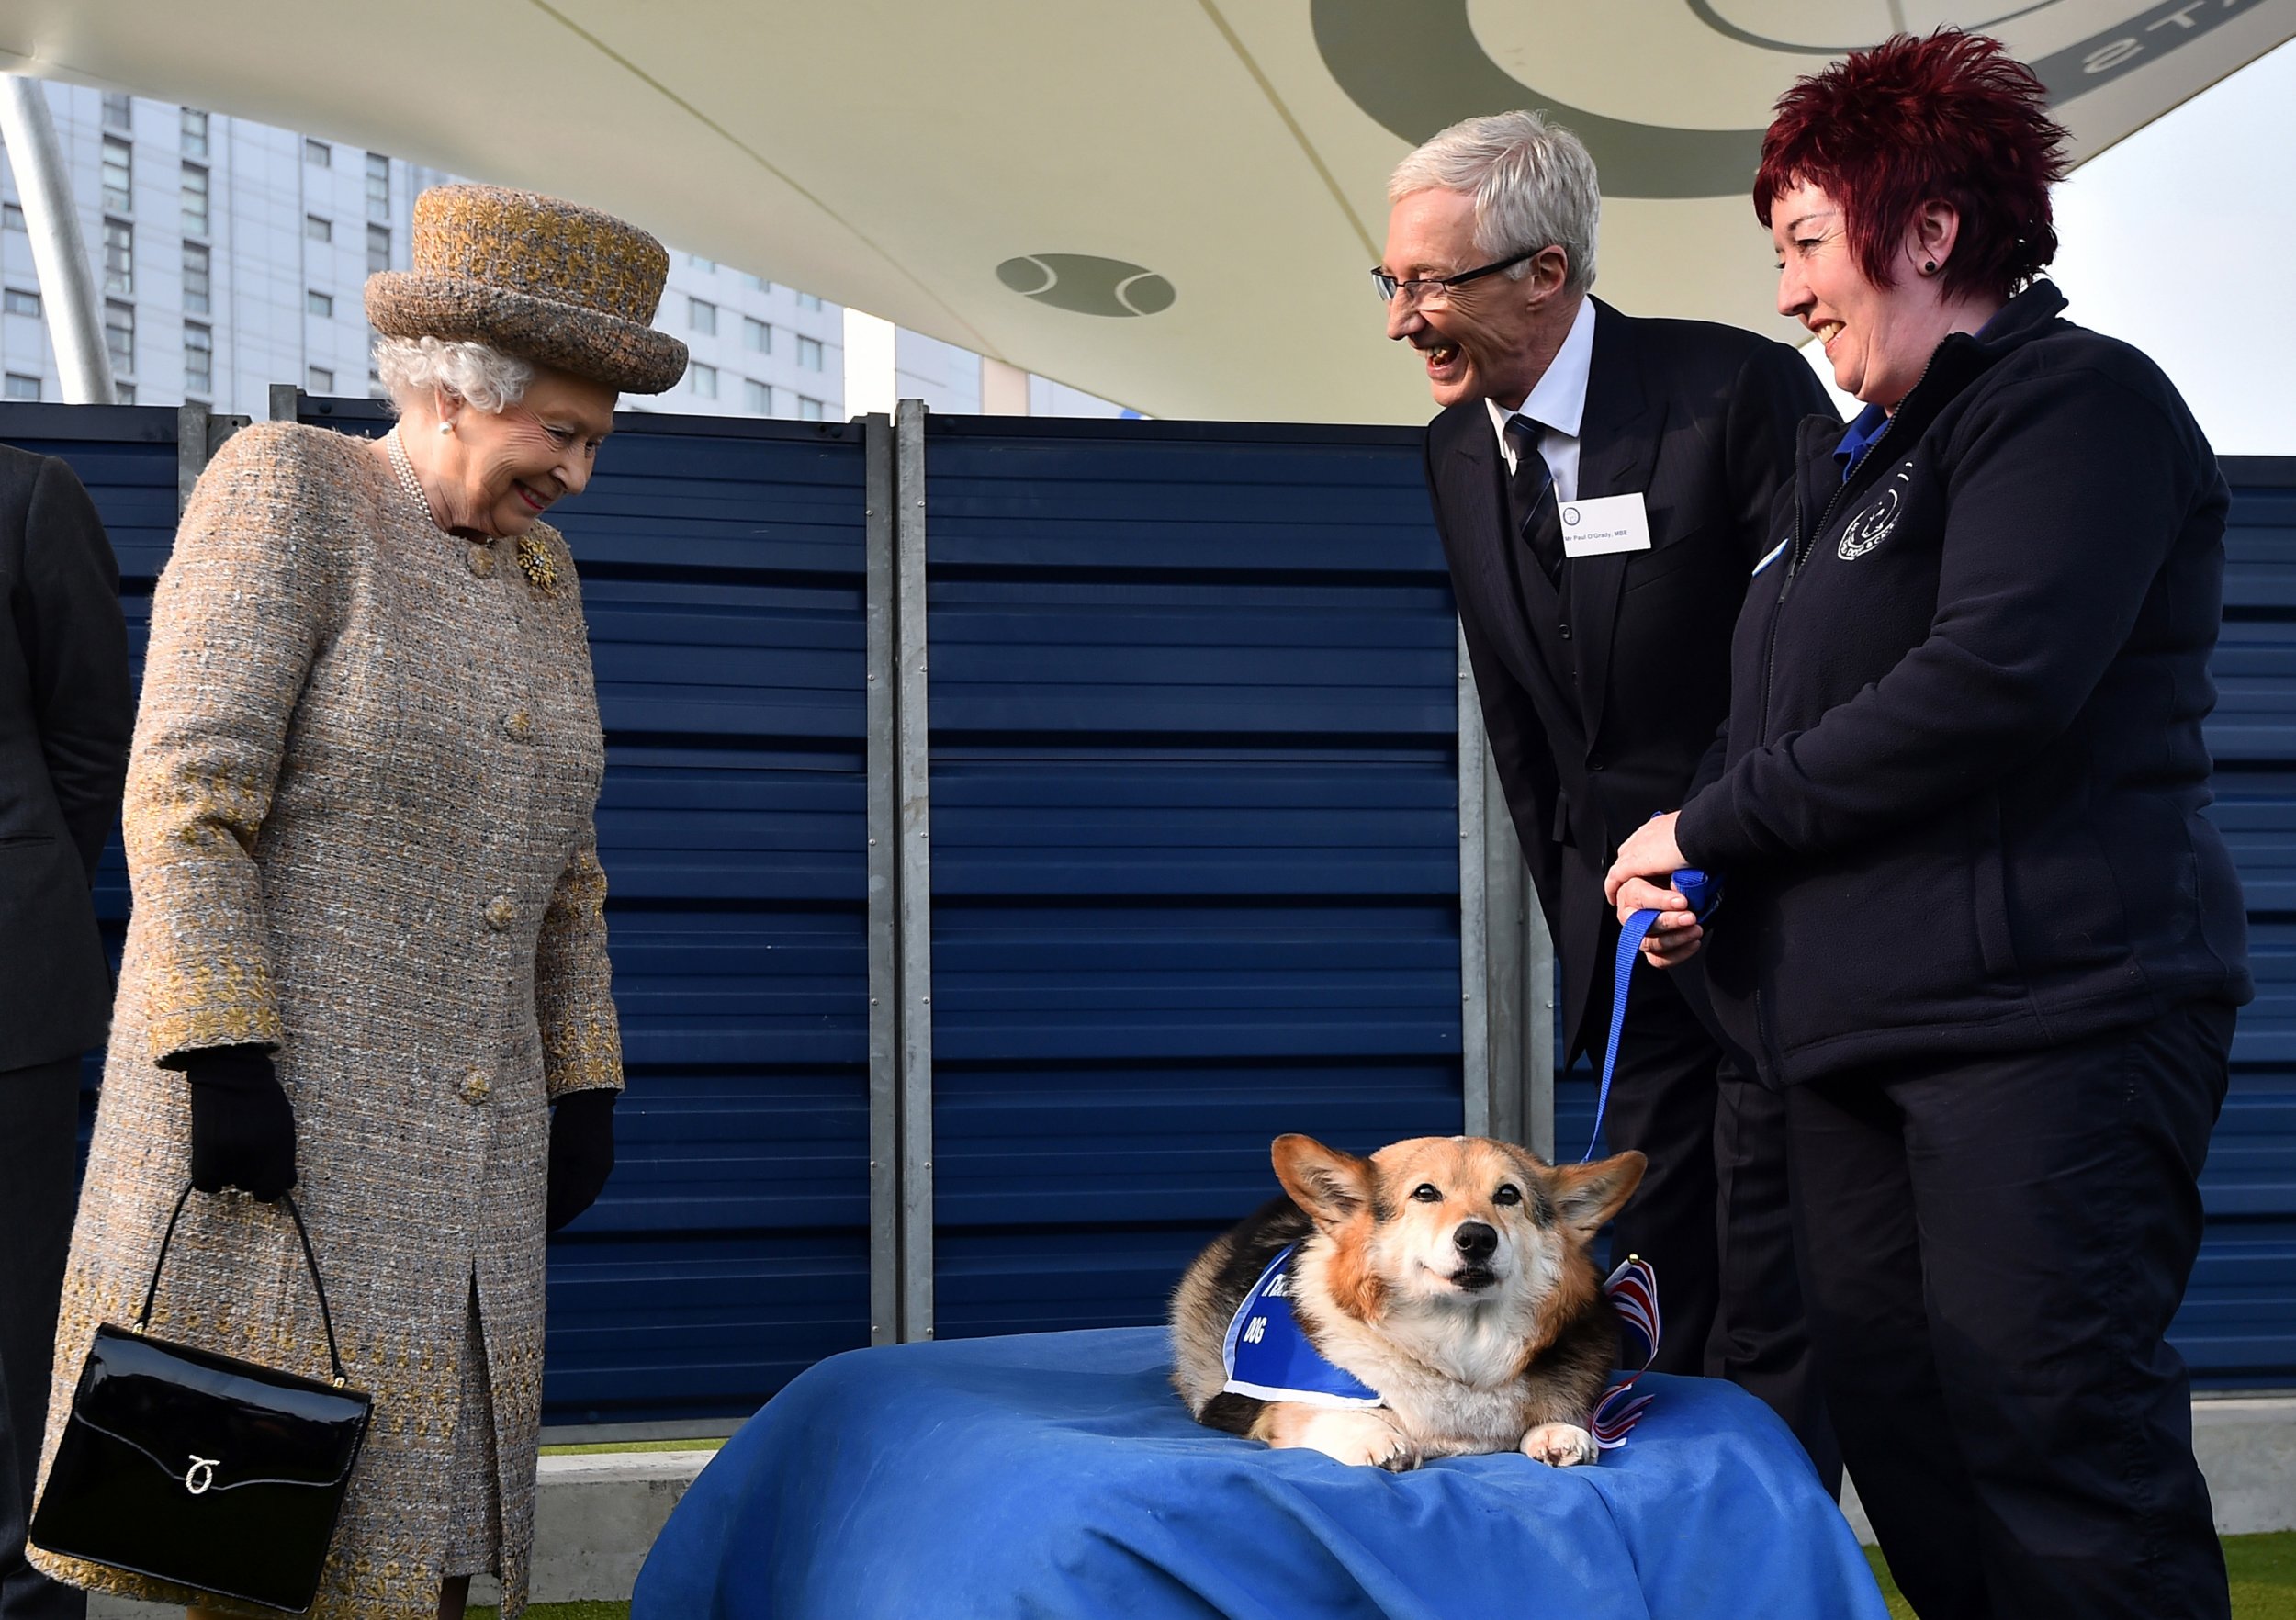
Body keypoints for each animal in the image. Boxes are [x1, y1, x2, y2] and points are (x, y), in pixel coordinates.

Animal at [1176, 1138, 1644, 1468]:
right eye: (1425, 1193)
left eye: (1508, 1194)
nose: (1477, 1238)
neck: (1459, 1348)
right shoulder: (1283, 1406)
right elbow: (1322, 1413)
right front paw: (1375, 1438)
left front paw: (1558, 1432)